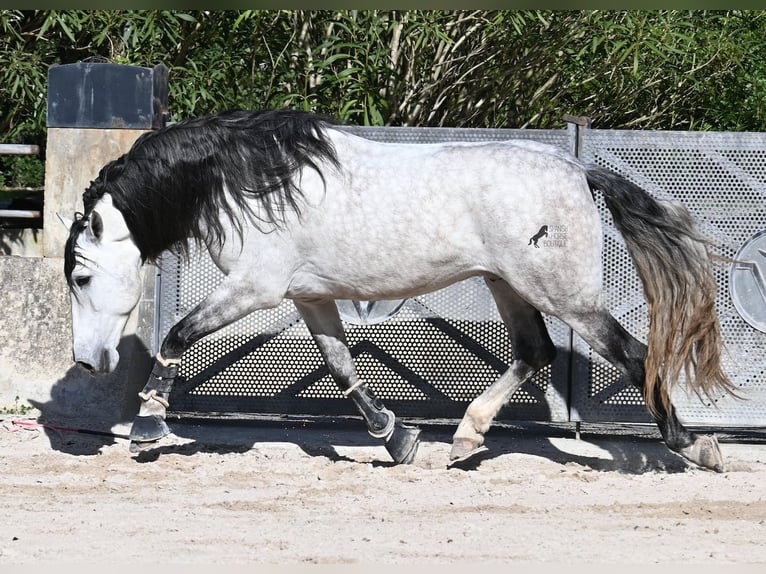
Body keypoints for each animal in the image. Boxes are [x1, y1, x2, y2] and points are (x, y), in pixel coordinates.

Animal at [63, 109, 738, 471]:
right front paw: (398, 438)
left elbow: (176, 338)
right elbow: (340, 365)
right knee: (535, 353)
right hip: (508, 285)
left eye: (82, 276)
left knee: (633, 355)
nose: (88, 362)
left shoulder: (256, 288)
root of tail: (577, 169)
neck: (247, 180)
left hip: (565, 296)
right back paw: (464, 439)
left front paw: (148, 428)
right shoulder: (310, 296)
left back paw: (695, 447)